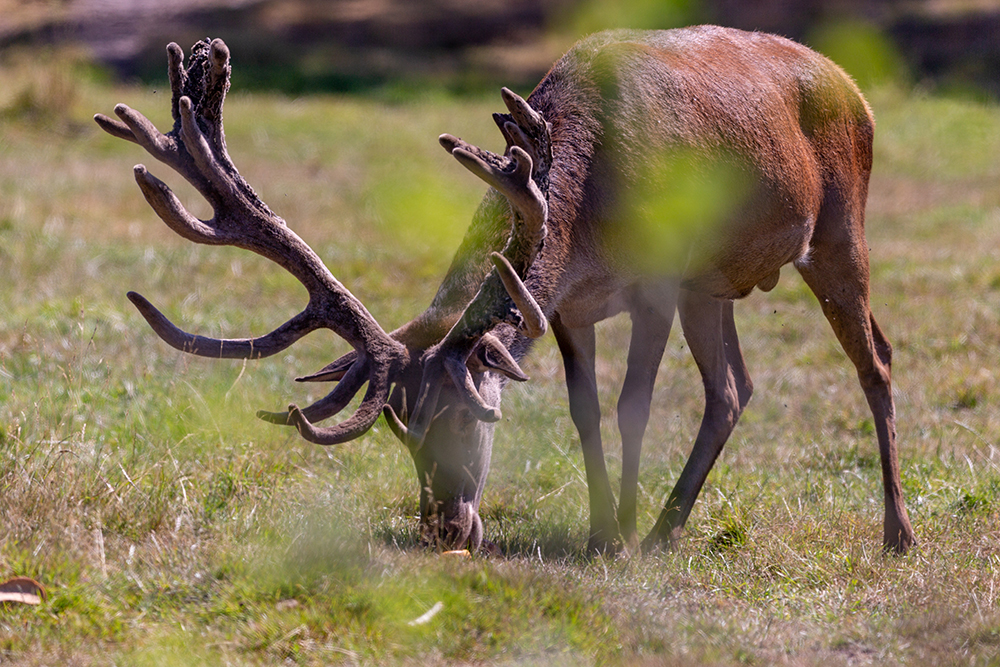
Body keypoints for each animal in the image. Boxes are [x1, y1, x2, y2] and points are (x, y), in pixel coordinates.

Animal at [95, 26, 915, 556]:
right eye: (400, 423)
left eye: (467, 413)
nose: (446, 528)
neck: (585, 221)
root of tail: (857, 88)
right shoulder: (570, 305)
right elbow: (586, 409)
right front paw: (604, 528)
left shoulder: (655, 279)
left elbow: (632, 405)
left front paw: (617, 535)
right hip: (711, 285)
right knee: (734, 388)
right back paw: (668, 527)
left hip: (838, 229)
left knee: (876, 358)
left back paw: (897, 533)